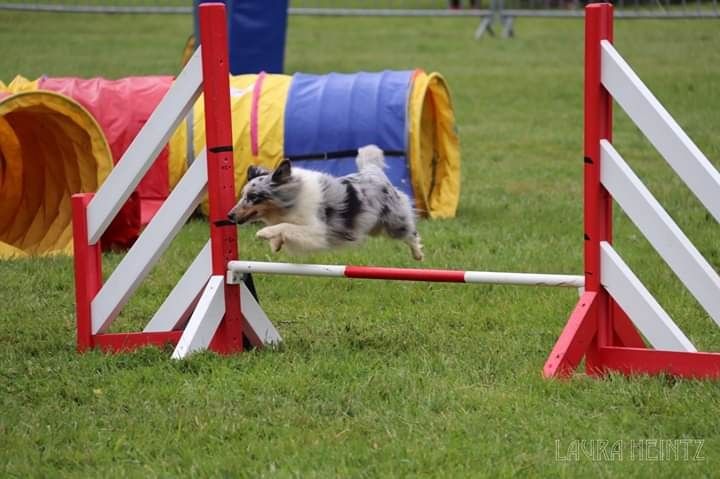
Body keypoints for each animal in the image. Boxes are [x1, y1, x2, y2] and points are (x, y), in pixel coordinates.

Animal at [228, 144, 424, 260]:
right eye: (243, 195)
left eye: (253, 197)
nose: (229, 215)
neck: (291, 199)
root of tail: (373, 171)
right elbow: (284, 229)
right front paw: (275, 243)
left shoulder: (317, 231)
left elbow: (286, 227)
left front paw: (264, 232)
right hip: (373, 226)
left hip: (393, 223)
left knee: (410, 233)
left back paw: (418, 254)